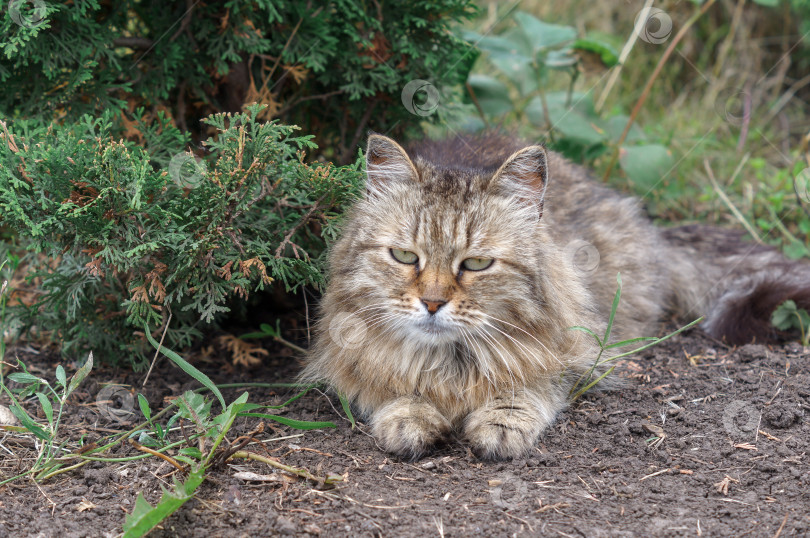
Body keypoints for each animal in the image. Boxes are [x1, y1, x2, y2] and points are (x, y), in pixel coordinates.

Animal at [298, 132, 808, 458]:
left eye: (476, 264)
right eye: (405, 256)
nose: (433, 303)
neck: (451, 363)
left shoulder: (580, 350)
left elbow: (527, 386)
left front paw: (500, 423)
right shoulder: (346, 352)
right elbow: (390, 384)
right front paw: (409, 416)